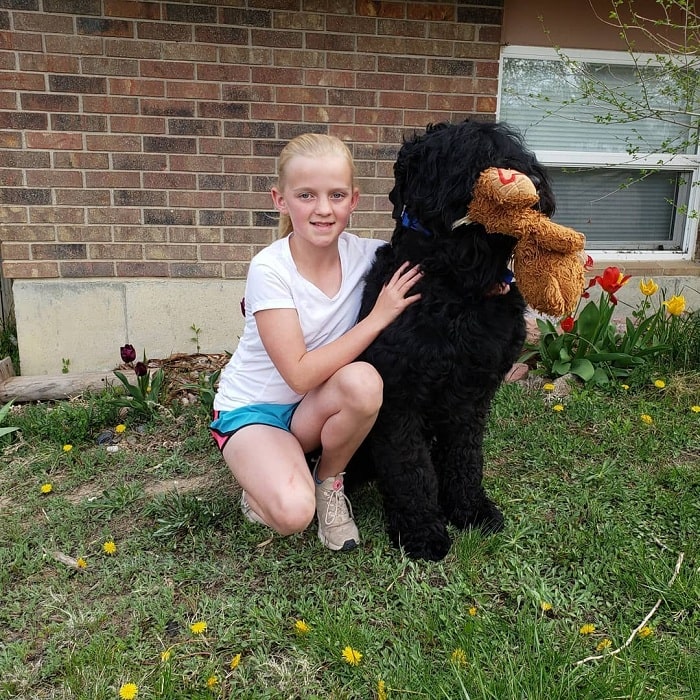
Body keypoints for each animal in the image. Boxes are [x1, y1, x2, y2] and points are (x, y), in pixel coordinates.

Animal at [350, 119, 556, 556]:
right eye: (465, 155)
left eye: (515, 151)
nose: (530, 182)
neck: (454, 289)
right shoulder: (400, 397)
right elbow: (410, 468)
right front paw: (422, 531)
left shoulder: (472, 395)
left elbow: (464, 456)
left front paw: (471, 510)